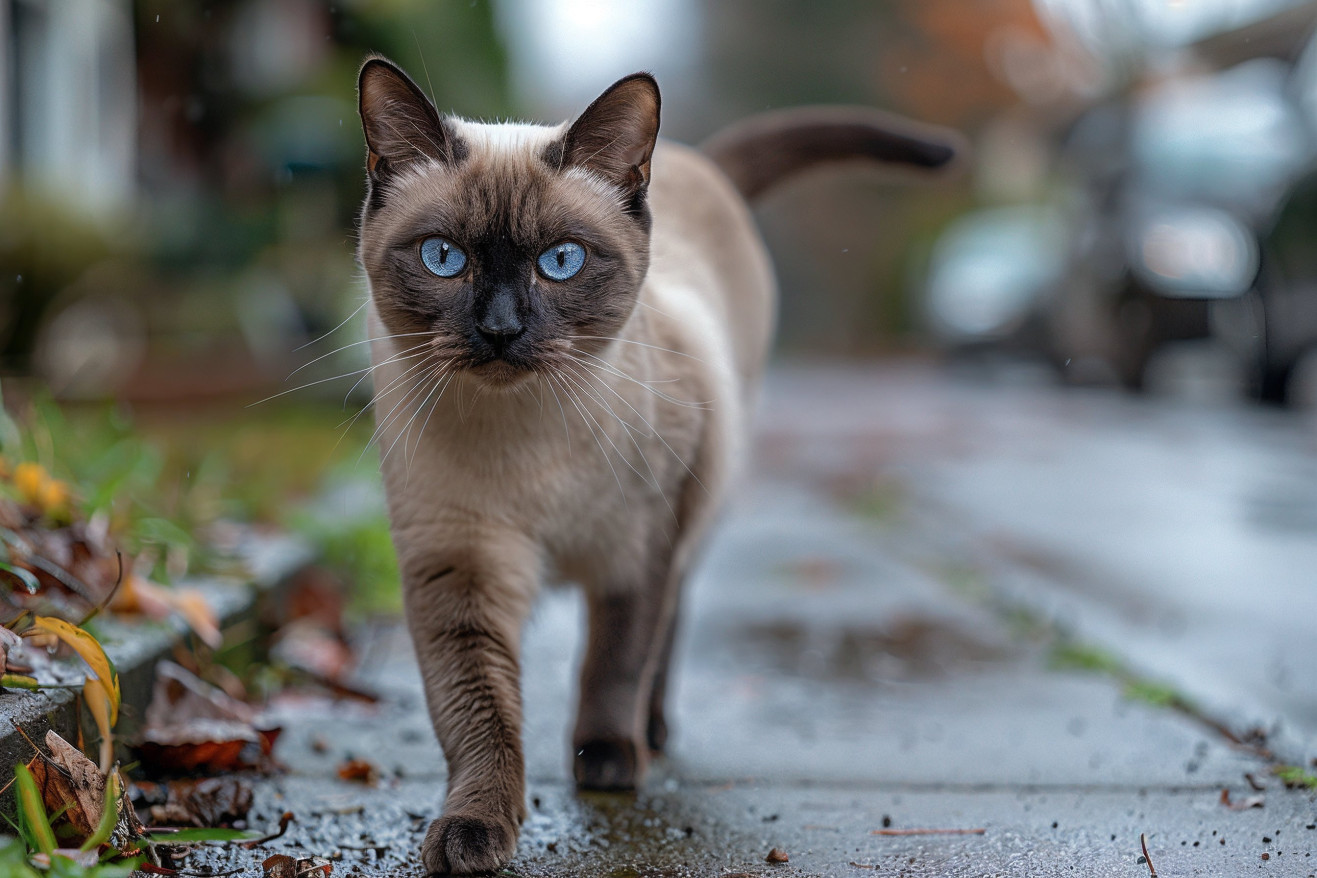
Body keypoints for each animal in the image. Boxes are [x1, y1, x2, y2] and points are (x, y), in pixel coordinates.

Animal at [355, 58, 964, 874]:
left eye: (560, 262)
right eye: (443, 257)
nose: (500, 329)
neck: (528, 436)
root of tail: (697, 158)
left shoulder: (638, 546)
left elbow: (614, 660)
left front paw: (606, 764)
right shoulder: (460, 566)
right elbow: (477, 715)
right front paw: (474, 830)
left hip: (695, 509)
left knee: (668, 623)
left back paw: (650, 733)